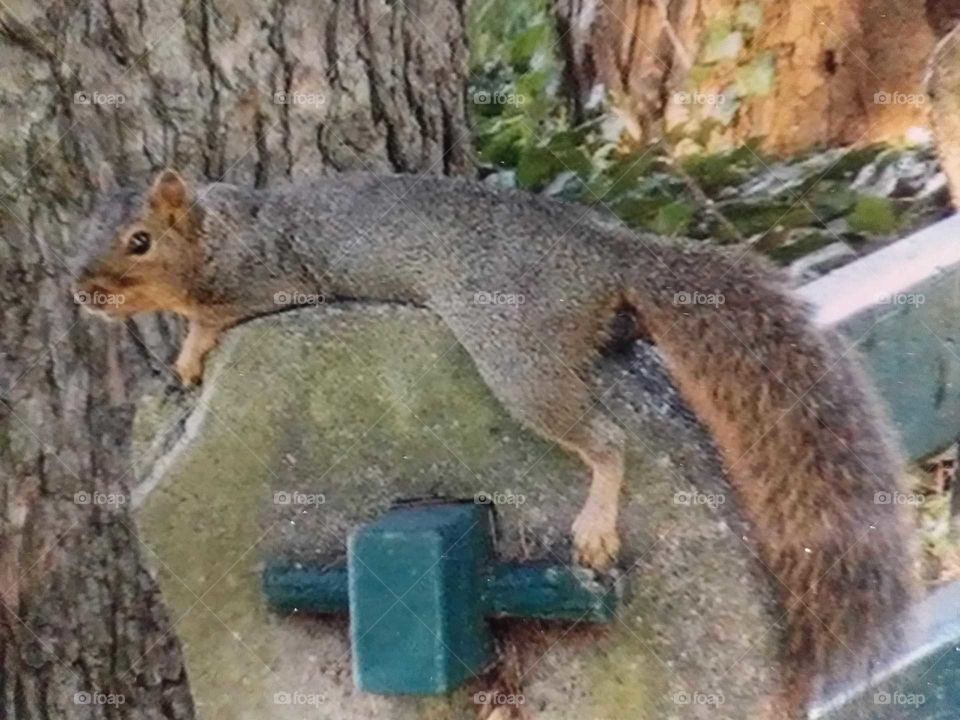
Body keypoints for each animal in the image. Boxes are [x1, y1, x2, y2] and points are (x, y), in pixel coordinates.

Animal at [73, 167, 916, 716]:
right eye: (83, 233)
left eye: (139, 241)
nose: (83, 291)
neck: (219, 229)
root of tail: (605, 254)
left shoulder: (274, 280)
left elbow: (219, 314)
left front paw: (190, 347)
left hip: (519, 358)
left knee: (605, 439)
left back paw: (597, 521)